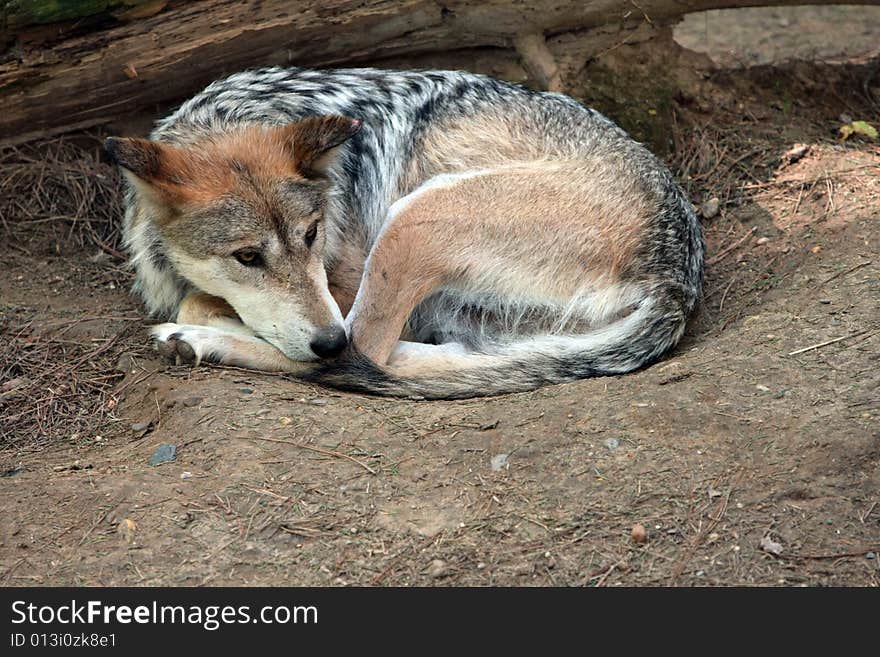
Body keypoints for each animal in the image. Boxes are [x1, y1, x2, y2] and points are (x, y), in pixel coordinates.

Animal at [103, 65, 704, 400]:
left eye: (312, 235)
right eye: (247, 257)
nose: (327, 339)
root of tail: (677, 276)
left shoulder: (341, 289)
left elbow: (207, 306)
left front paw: (205, 326)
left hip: (413, 219)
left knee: (362, 352)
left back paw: (201, 343)